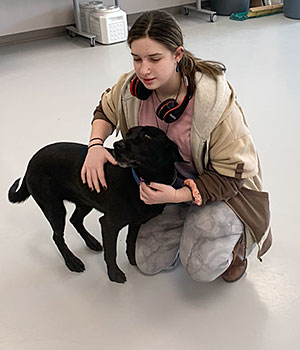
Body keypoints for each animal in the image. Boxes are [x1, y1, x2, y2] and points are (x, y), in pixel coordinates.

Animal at [8, 127, 184, 284]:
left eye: (147, 137)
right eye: (128, 133)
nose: (117, 145)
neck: (141, 180)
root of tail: (31, 162)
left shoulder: (136, 222)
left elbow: (130, 241)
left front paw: (133, 260)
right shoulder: (109, 224)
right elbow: (111, 252)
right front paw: (114, 274)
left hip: (85, 200)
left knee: (75, 220)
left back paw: (91, 242)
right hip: (54, 208)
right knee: (57, 236)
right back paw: (72, 261)